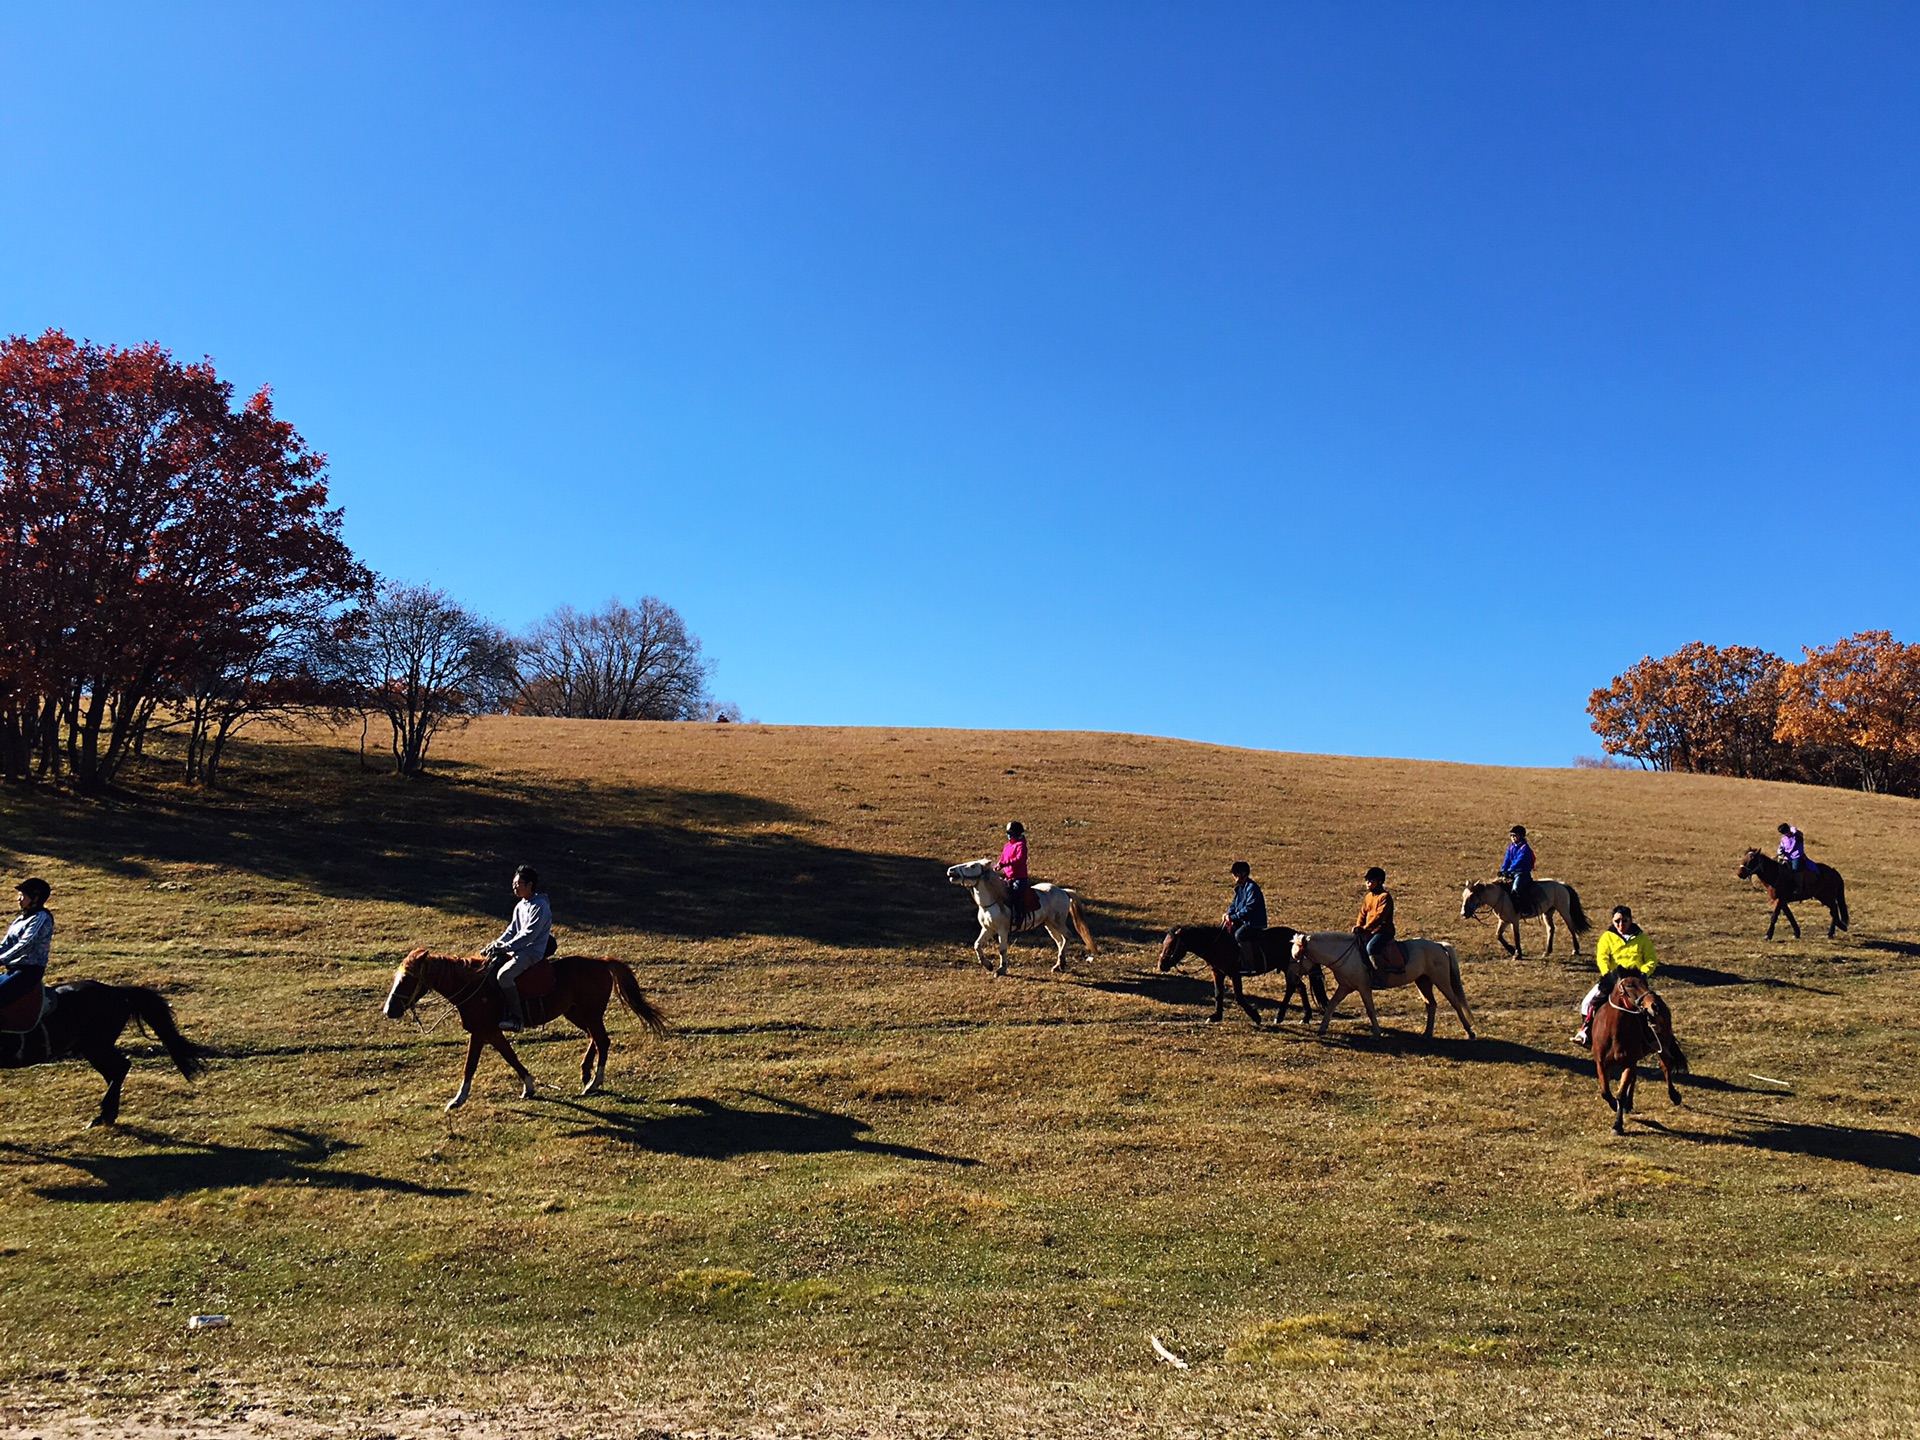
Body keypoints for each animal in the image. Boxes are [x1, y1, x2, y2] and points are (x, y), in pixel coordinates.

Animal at [382, 952, 668, 1113]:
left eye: (407, 979)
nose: (389, 1010)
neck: (474, 986)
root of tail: (601, 963)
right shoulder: (491, 1033)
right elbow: (511, 1057)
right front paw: (529, 1086)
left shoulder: (482, 1031)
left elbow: (471, 1066)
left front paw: (457, 1100)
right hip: (576, 1013)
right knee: (595, 1039)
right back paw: (586, 1073)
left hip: (589, 1013)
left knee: (603, 1040)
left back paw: (594, 1082)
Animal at [940, 856, 1098, 983]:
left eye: (973, 866)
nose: (951, 871)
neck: (993, 901)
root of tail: (1063, 891)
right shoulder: (988, 929)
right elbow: (977, 945)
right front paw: (988, 965)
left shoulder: (1002, 930)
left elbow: (1002, 950)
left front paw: (1001, 970)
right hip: (1049, 924)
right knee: (1060, 941)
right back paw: (1058, 965)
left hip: (1057, 922)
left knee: (1068, 937)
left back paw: (1061, 963)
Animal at [1144, 929, 1328, 1029]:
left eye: (1171, 945)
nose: (1161, 965)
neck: (1217, 944)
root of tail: (1299, 937)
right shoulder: (1218, 973)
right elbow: (1218, 994)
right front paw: (1216, 1016)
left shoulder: (1234, 973)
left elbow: (1239, 996)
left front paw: (1256, 1016)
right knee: (1299, 987)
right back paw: (1303, 1016)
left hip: (1287, 967)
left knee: (1294, 986)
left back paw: (1283, 1015)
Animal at [1290, 929, 1482, 1044]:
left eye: (1298, 955)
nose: (1293, 977)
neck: (1346, 955)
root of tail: (1439, 945)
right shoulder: (1345, 987)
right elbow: (1331, 1005)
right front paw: (1322, 1029)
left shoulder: (1363, 987)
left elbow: (1370, 1009)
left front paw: (1376, 1033)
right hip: (1423, 981)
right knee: (1431, 1004)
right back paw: (1427, 1033)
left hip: (1441, 980)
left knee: (1455, 1003)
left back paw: (1470, 1032)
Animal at [1582, 975, 1689, 1136]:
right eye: (1630, 985)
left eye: (1645, 983)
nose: (1655, 1006)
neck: (1614, 1032)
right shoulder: (1601, 1064)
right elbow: (1605, 1092)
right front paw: (1615, 1106)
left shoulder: (1629, 1062)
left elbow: (1620, 1094)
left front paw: (1617, 1126)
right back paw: (1629, 1103)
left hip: (1663, 1044)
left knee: (1666, 1066)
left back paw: (1674, 1096)